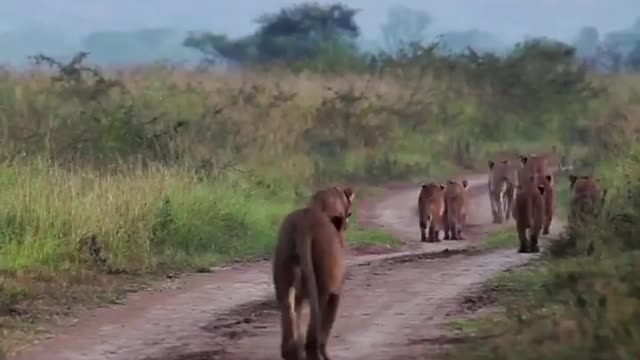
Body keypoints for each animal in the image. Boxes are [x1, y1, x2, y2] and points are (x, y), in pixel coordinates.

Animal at [272, 207, 348, 360]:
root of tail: (303, 221)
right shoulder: (335, 294)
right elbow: (326, 327)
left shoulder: (298, 297)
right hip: (322, 287)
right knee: (312, 337)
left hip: (283, 280)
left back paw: (293, 352)